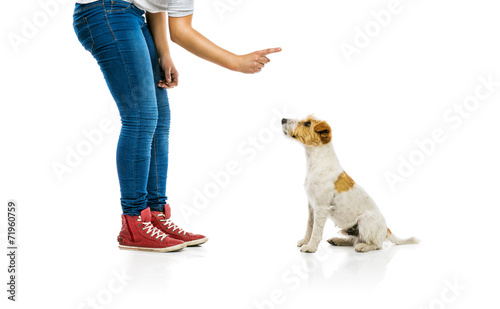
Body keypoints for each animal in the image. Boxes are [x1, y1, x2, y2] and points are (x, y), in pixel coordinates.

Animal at [282, 115, 418, 253]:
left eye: (307, 123)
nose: (283, 119)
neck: (317, 162)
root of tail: (387, 229)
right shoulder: (311, 206)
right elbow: (309, 226)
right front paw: (305, 241)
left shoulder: (321, 207)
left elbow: (316, 230)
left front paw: (310, 247)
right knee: (353, 240)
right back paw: (337, 240)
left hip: (364, 221)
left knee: (376, 245)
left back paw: (363, 247)